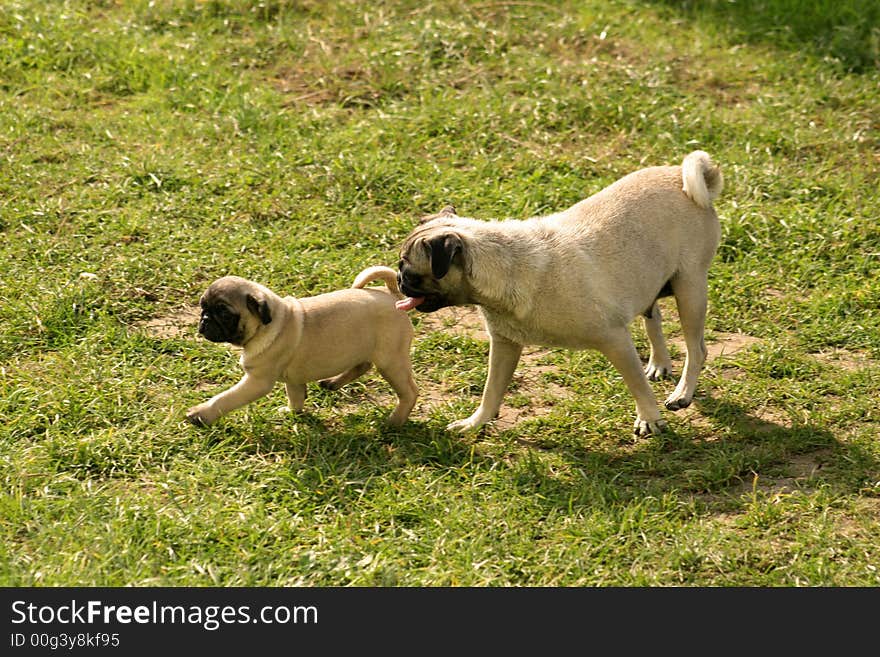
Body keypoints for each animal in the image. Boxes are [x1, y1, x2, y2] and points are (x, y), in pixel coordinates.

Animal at [186, 266, 420, 426]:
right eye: (203, 307)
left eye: (225, 314)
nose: (204, 320)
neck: (271, 324)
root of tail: (392, 295)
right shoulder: (294, 379)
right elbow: (296, 398)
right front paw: (292, 413)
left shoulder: (257, 381)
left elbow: (225, 398)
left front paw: (201, 414)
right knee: (363, 365)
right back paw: (333, 383)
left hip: (391, 361)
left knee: (409, 392)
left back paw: (395, 421)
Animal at [398, 150, 720, 436]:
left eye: (412, 274)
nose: (399, 281)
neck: (509, 264)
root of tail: (678, 175)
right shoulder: (504, 344)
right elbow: (492, 391)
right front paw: (476, 422)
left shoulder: (615, 340)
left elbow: (637, 385)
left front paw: (649, 418)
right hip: (649, 280)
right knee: (654, 317)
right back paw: (660, 363)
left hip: (689, 288)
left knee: (696, 348)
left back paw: (682, 393)